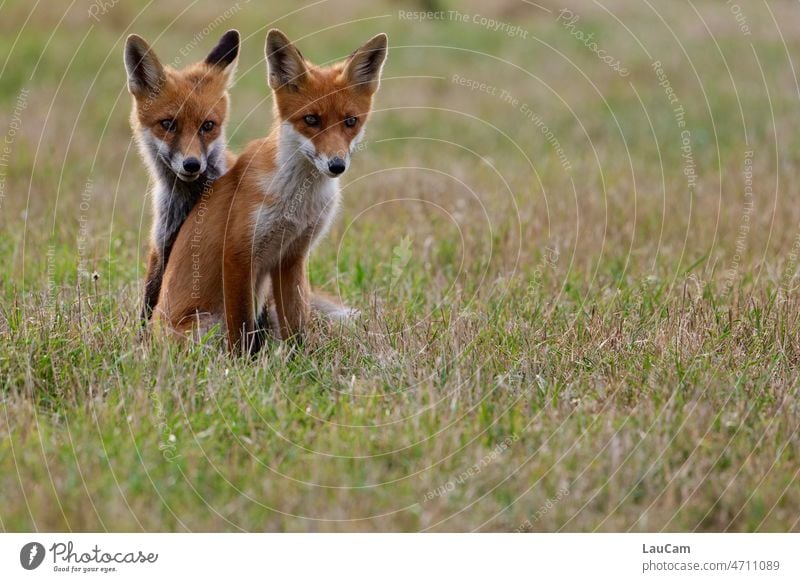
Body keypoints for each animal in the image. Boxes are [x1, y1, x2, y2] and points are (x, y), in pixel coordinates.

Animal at [123, 29, 239, 326]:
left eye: (208, 126)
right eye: (168, 124)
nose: (192, 164)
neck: (188, 203)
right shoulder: (163, 244)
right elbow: (148, 306)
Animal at [155, 29, 388, 354]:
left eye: (350, 121)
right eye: (311, 119)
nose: (337, 165)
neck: (297, 201)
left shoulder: (292, 255)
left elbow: (297, 321)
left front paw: (299, 359)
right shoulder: (238, 254)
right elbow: (241, 328)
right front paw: (241, 363)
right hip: (205, 324)